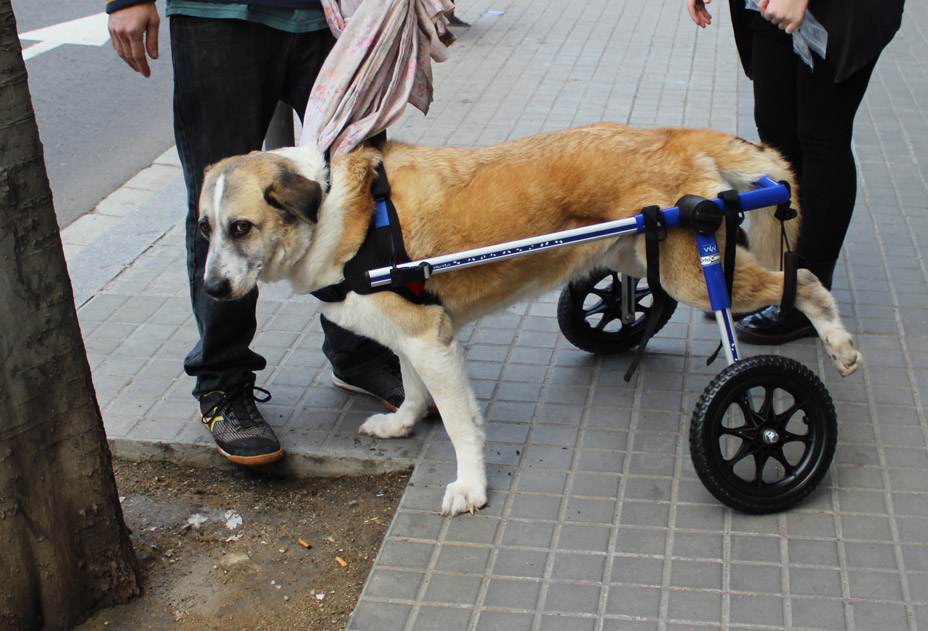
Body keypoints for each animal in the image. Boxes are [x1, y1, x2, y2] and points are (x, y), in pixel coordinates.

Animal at [196, 123, 864, 520]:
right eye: (205, 229)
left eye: (241, 227)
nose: (211, 289)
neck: (337, 208)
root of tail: (669, 134)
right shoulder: (412, 336)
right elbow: (411, 388)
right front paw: (404, 423)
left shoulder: (432, 340)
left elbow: (461, 426)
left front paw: (471, 486)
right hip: (630, 253)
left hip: (694, 274)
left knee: (803, 280)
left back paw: (835, 347)